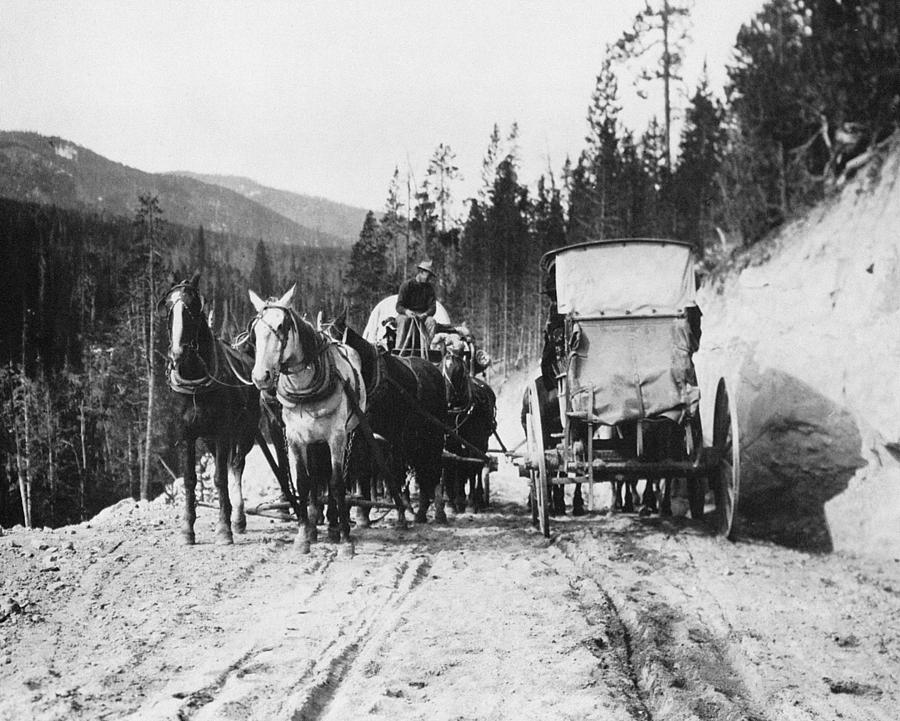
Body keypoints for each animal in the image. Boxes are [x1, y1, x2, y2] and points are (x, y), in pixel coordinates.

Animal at [160, 272, 260, 544]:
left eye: (194, 307)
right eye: (168, 307)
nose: (177, 353)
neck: (196, 383)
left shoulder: (223, 433)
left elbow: (220, 478)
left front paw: (224, 528)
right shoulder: (188, 436)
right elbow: (190, 480)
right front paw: (187, 529)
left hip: (246, 431)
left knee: (236, 466)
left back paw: (238, 518)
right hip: (209, 439)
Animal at [246, 286, 366, 552]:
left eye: (282, 326)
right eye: (254, 331)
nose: (261, 377)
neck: (305, 389)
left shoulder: (336, 436)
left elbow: (336, 482)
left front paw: (344, 537)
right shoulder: (295, 437)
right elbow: (303, 482)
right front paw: (303, 535)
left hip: (345, 434)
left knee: (332, 479)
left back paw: (333, 524)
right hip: (313, 441)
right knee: (314, 476)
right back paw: (314, 522)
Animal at [326, 310, 448, 524]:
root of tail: (434, 369)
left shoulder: (393, 436)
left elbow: (392, 471)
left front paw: (400, 514)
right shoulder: (359, 433)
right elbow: (361, 468)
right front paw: (361, 512)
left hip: (433, 434)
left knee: (432, 467)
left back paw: (436, 511)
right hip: (416, 438)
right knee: (422, 467)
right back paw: (422, 511)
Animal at [438, 334, 500, 516]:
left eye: (458, 370)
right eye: (440, 368)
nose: (446, 400)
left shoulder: (474, 442)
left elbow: (471, 466)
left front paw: (470, 501)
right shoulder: (450, 442)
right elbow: (452, 465)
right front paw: (451, 502)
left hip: (482, 442)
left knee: (479, 465)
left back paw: (476, 497)